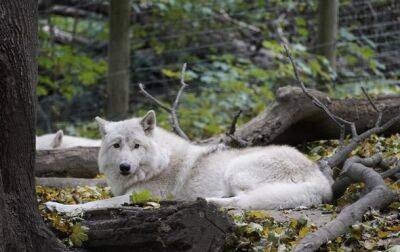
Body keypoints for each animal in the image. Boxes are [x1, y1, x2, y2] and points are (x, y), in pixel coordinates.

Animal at [44, 110, 332, 213]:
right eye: (117, 145)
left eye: (136, 145)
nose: (125, 167)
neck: (158, 163)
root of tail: (321, 182)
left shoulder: (135, 197)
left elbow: (94, 203)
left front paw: (61, 207)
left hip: (235, 171)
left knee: (242, 201)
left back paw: (204, 201)